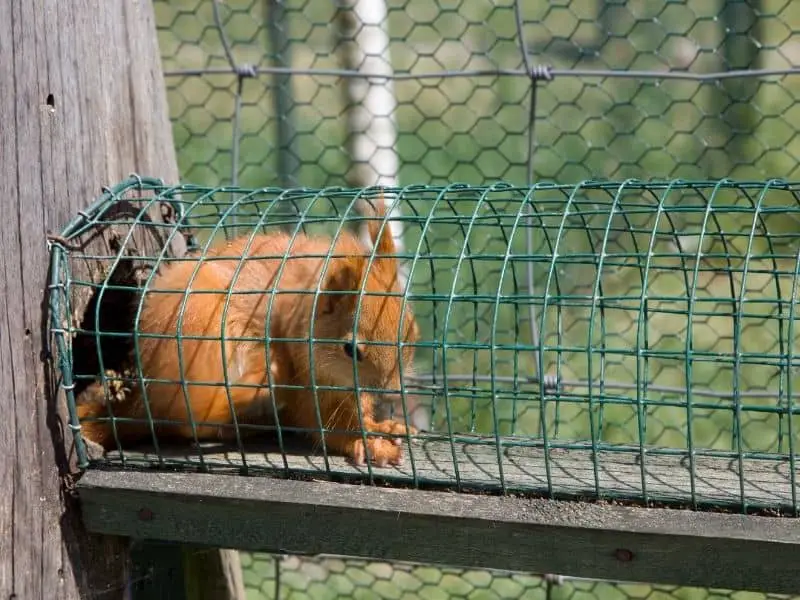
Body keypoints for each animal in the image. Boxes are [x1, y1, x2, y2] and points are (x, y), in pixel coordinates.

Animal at [76, 195, 418, 466]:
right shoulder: (306, 372)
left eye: (411, 335)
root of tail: (147, 399)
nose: (390, 392)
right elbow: (325, 424)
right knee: (194, 418)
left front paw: (381, 426)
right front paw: (365, 443)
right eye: (350, 350)